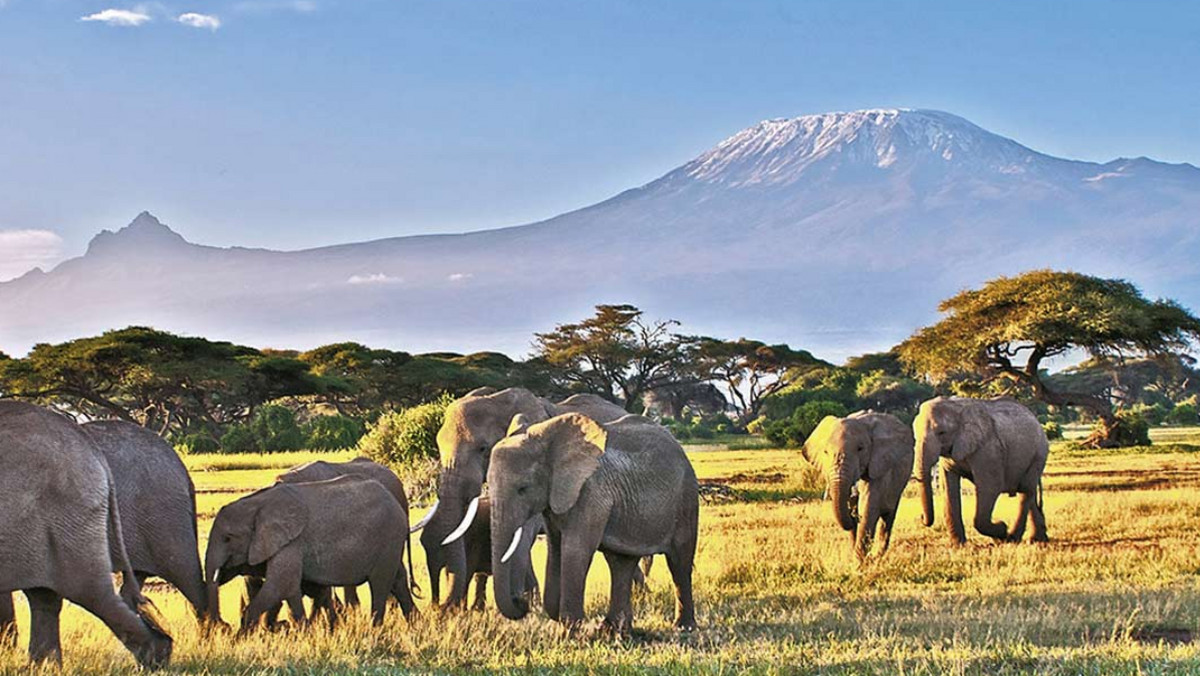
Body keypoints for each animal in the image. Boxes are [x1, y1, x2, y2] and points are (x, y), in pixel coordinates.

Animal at [0, 398, 175, 667]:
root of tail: (96, 455)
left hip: (70, 513)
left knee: (90, 592)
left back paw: (156, 658)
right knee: (45, 597)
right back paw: (43, 667)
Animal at [204, 473, 415, 633]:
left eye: (228, 538)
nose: (224, 627)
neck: (255, 503)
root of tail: (397, 504)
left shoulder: (291, 542)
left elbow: (280, 585)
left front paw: (239, 639)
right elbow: (289, 590)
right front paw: (302, 631)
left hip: (388, 536)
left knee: (380, 584)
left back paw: (374, 632)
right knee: (398, 579)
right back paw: (416, 625)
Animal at [801, 413, 912, 561]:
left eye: (860, 449)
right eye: (825, 452)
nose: (855, 516)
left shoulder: (878, 465)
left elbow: (869, 506)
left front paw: (860, 561)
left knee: (888, 516)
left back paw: (877, 555)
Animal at [912, 396, 1046, 545]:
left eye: (942, 433)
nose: (920, 516)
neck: (955, 407)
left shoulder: (988, 450)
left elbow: (990, 487)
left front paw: (1001, 529)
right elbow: (948, 488)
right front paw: (958, 545)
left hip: (1038, 454)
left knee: (1026, 490)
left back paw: (1012, 538)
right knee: (1030, 492)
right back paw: (1038, 540)